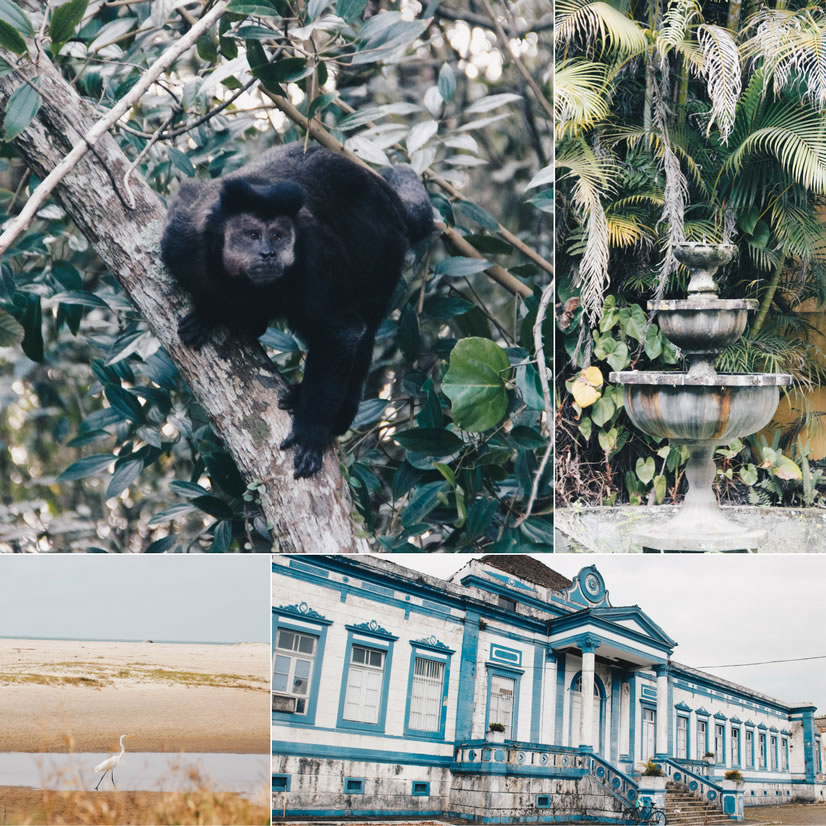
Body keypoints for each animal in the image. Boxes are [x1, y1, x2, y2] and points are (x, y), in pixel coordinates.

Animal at [159, 142, 432, 476]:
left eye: (277, 235)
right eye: (252, 235)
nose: (268, 253)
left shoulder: (315, 256)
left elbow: (342, 333)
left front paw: (311, 433)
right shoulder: (182, 240)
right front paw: (211, 311)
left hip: (385, 244)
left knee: (365, 323)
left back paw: (340, 414)